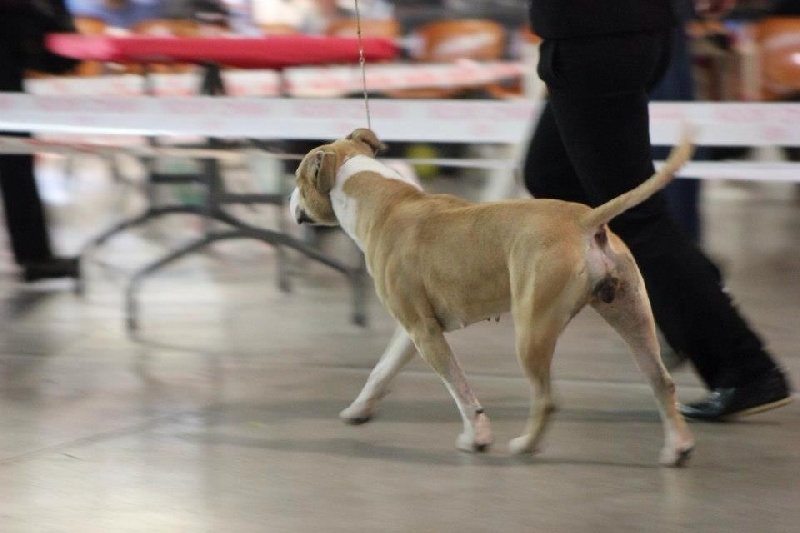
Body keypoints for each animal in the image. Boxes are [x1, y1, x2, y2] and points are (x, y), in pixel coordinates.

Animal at [290, 129, 696, 466]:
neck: (380, 200)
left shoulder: (425, 333)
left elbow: (460, 391)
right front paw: (358, 410)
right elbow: (381, 370)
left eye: (297, 178)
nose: (292, 197)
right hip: (631, 314)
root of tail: (583, 221)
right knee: (660, 380)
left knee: (547, 398)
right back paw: (676, 448)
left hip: (532, 329)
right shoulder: (412, 330)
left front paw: (477, 438)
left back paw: (525, 445)